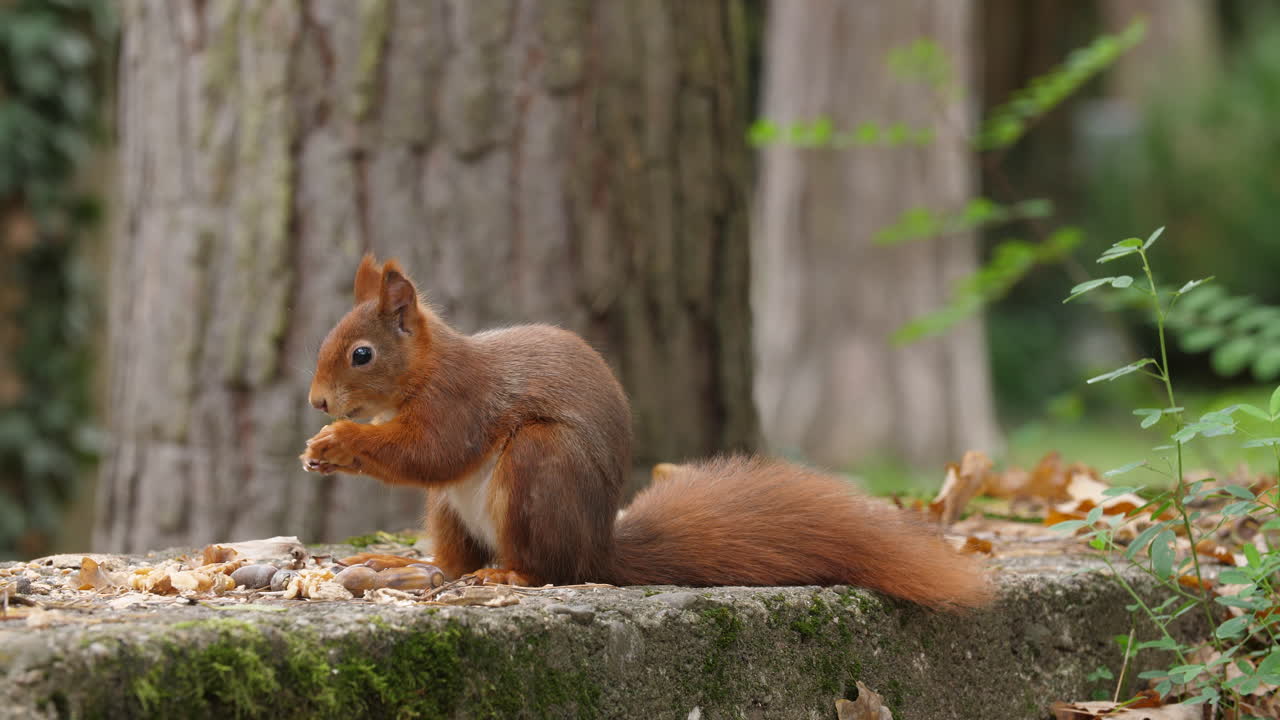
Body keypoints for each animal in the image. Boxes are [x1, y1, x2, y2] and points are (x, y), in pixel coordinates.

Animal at [300, 255, 991, 611]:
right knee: (452, 561)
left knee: (548, 569)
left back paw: (511, 577)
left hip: (539, 467)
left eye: (361, 354)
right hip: (449, 511)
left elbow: (433, 450)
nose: (317, 402)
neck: (427, 368)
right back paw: (402, 563)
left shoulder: (461, 400)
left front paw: (339, 443)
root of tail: (596, 548)